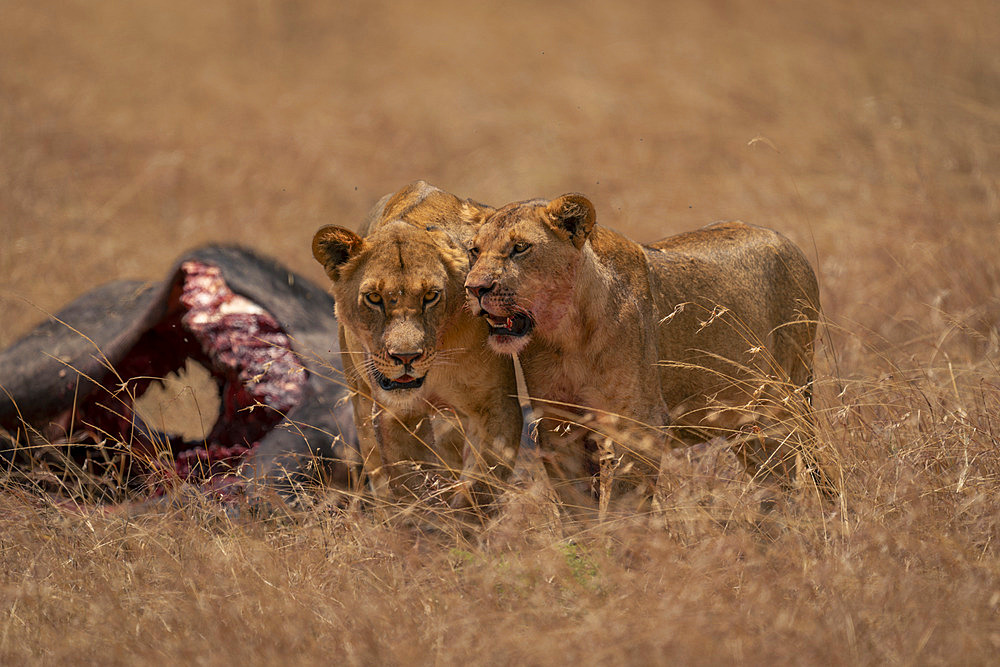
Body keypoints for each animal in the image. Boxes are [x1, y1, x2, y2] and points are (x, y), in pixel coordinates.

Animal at [312, 183, 524, 512]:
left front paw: (460, 521)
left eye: (431, 296)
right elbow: (412, 483)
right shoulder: (397, 414)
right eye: (374, 298)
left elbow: (480, 487)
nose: (406, 357)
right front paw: (424, 520)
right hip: (361, 400)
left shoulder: (496, 403)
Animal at [464, 193, 824, 506]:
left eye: (520, 248)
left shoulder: (639, 423)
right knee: (772, 477)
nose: (475, 288)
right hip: (743, 420)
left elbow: (626, 503)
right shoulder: (559, 426)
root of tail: (783, 239)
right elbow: (576, 507)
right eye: (473, 251)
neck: (566, 338)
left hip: (788, 398)